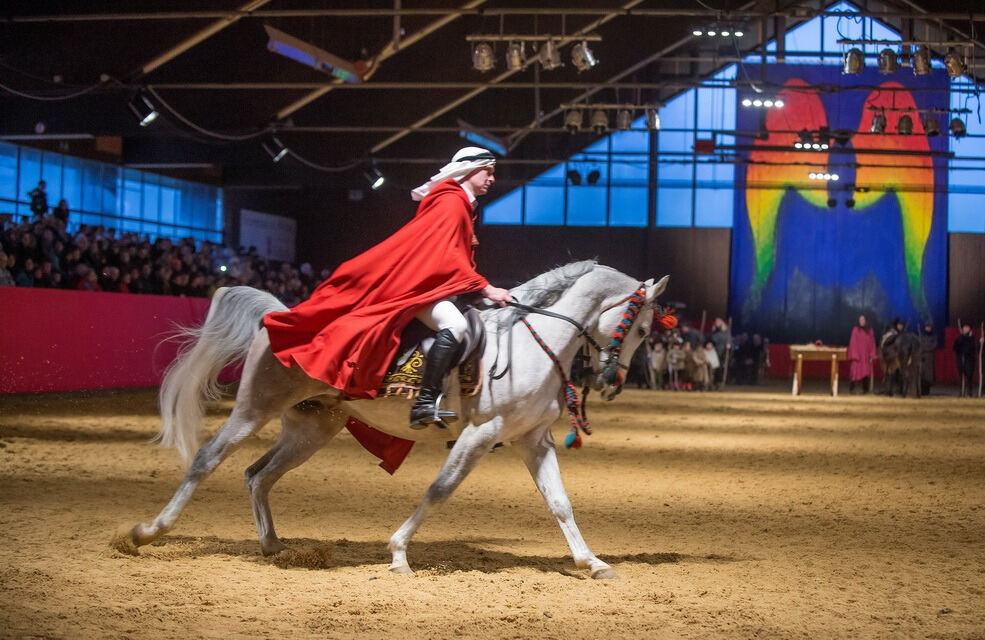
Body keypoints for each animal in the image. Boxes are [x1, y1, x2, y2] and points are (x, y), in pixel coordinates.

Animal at [119, 262, 664, 580]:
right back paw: (146, 533)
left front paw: (592, 562)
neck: (534, 342)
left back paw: (274, 546)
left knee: (258, 474)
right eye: (640, 327)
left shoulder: (533, 439)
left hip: (311, 428)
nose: (612, 381)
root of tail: (281, 319)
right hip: (254, 408)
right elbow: (439, 490)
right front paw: (399, 551)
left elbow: (560, 503)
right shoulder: (480, 433)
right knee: (207, 460)